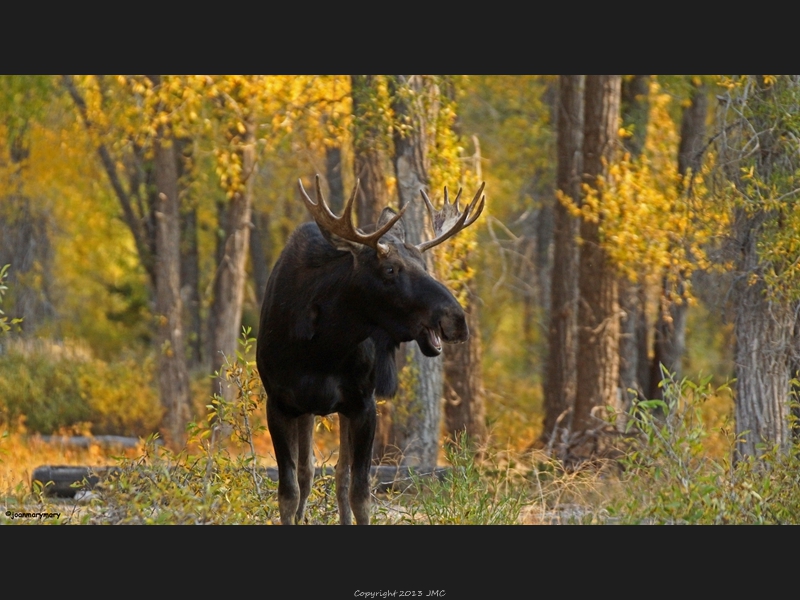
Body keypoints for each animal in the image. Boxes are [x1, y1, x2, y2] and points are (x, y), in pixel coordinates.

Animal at [256, 175, 484, 524]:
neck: (321, 350)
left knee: (339, 475)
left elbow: (359, 493)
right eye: (389, 269)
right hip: (307, 409)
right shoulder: (279, 403)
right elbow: (288, 493)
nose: (457, 319)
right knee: (309, 472)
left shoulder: (363, 404)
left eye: (423, 264)